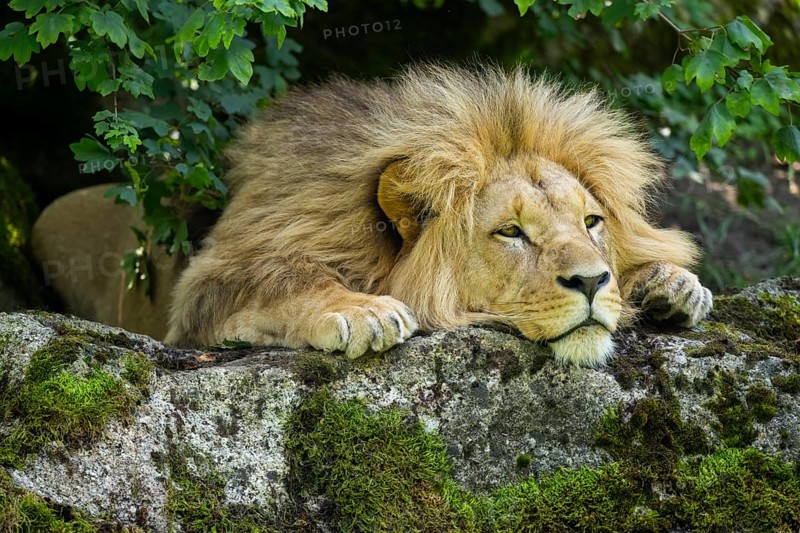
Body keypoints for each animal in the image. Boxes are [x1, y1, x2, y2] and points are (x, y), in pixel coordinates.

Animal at [156, 63, 712, 366]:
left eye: (591, 222)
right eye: (511, 232)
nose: (593, 282)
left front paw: (670, 284)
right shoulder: (212, 284)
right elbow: (286, 276)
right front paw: (364, 311)